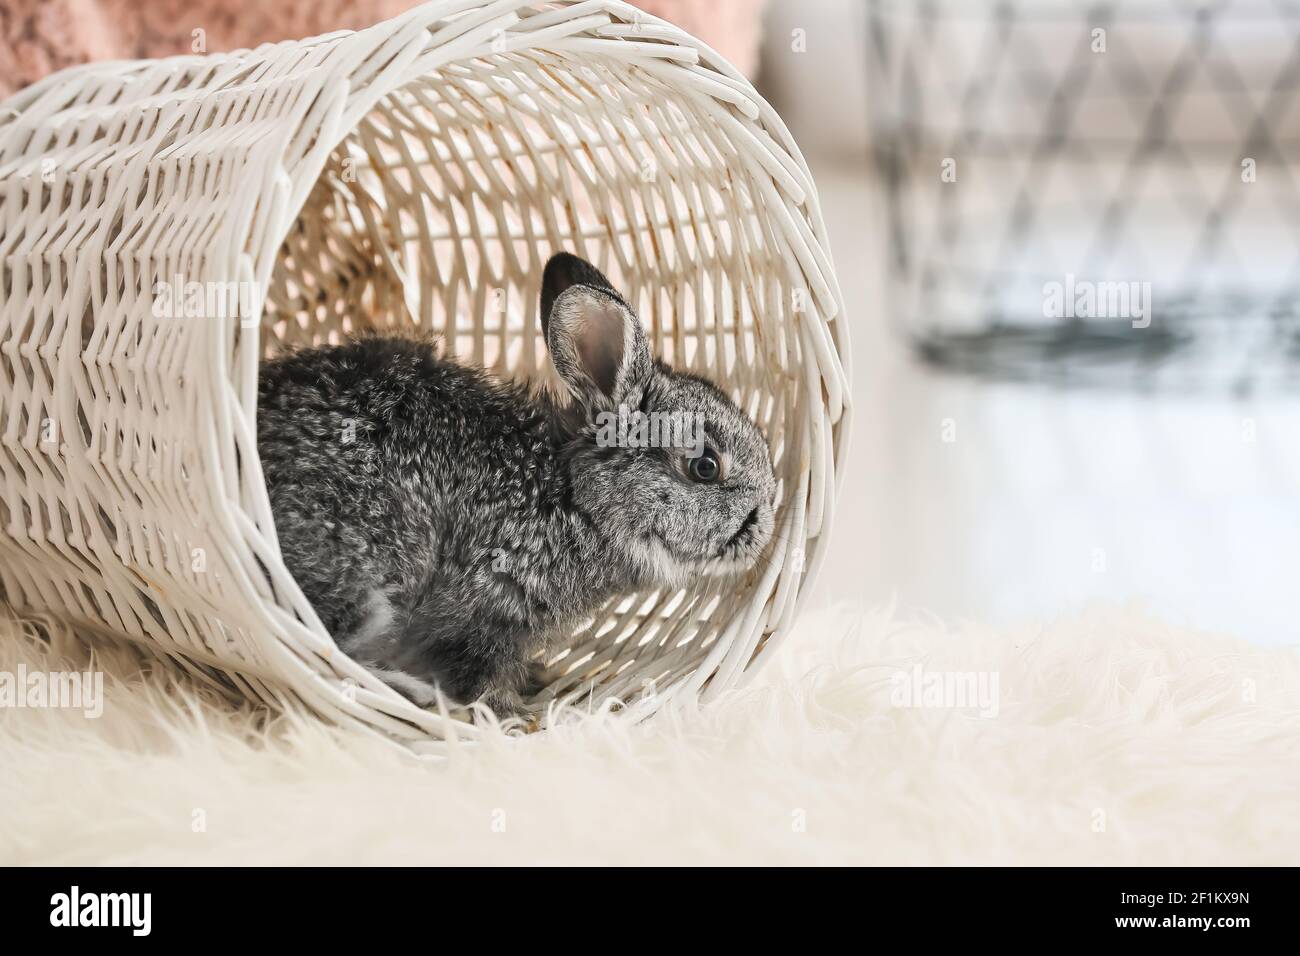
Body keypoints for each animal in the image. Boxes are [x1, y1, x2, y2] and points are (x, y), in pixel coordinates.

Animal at [256, 252, 777, 716]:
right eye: (705, 466)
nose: (765, 526)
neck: (579, 501)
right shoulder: (486, 609)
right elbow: (477, 667)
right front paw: (511, 711)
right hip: (368, 580)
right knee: (335, 649)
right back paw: (415, 693)